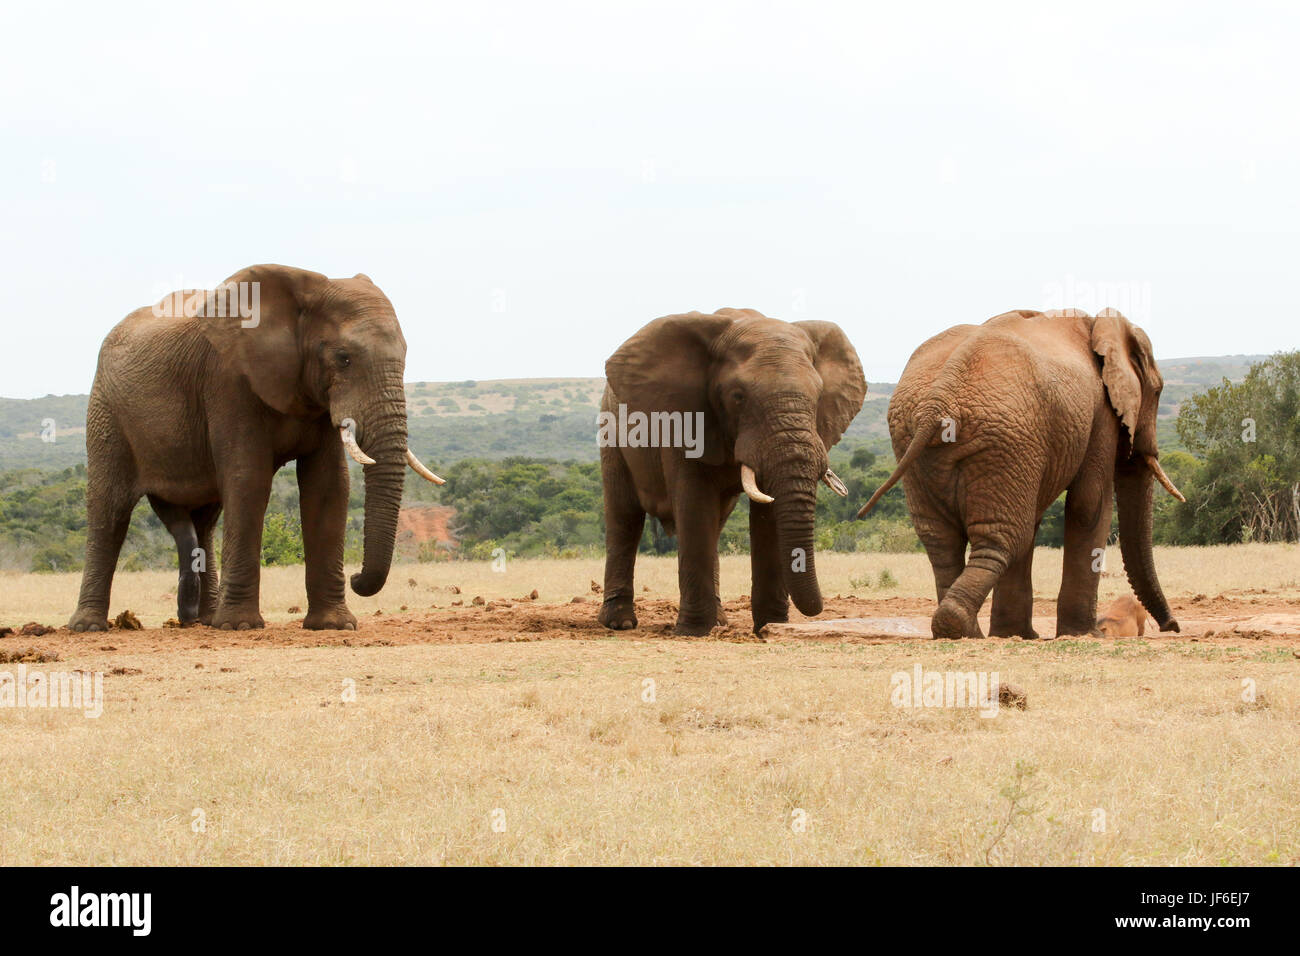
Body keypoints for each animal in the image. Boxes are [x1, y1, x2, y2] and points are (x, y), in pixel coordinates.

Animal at [68, 265, 444, 632]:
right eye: (344, 358)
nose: (356, 578)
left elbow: (329, 486)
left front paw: (333, 626)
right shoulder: (229, 381)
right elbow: (248, 479)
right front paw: (240, 625)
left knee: (204, 519)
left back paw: (205, 620)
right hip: (106, 410)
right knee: (109, 511)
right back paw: (89, 626)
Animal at [595, 306, 863, 634]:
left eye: (819, 396)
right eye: (738, 396)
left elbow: (766, 516)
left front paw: (769, 628)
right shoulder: (685, 417)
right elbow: (695, 505)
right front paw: (694, 632)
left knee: (715, 523)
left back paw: (720, 621)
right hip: (611, 433)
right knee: (624, 518)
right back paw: (619, 623)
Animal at [857, 306, 1185, 639]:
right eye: (1157, 390)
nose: (1172, 626)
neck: (1100, 325)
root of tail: (939, 398)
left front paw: (1017, 634)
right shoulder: (1101, 412)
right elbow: (1089, 503)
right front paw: (1084, 634)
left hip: (926, 443)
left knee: (943, 539)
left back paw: (964, 630)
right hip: (1004, 439)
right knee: (1005, 537)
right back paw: (962, 627)